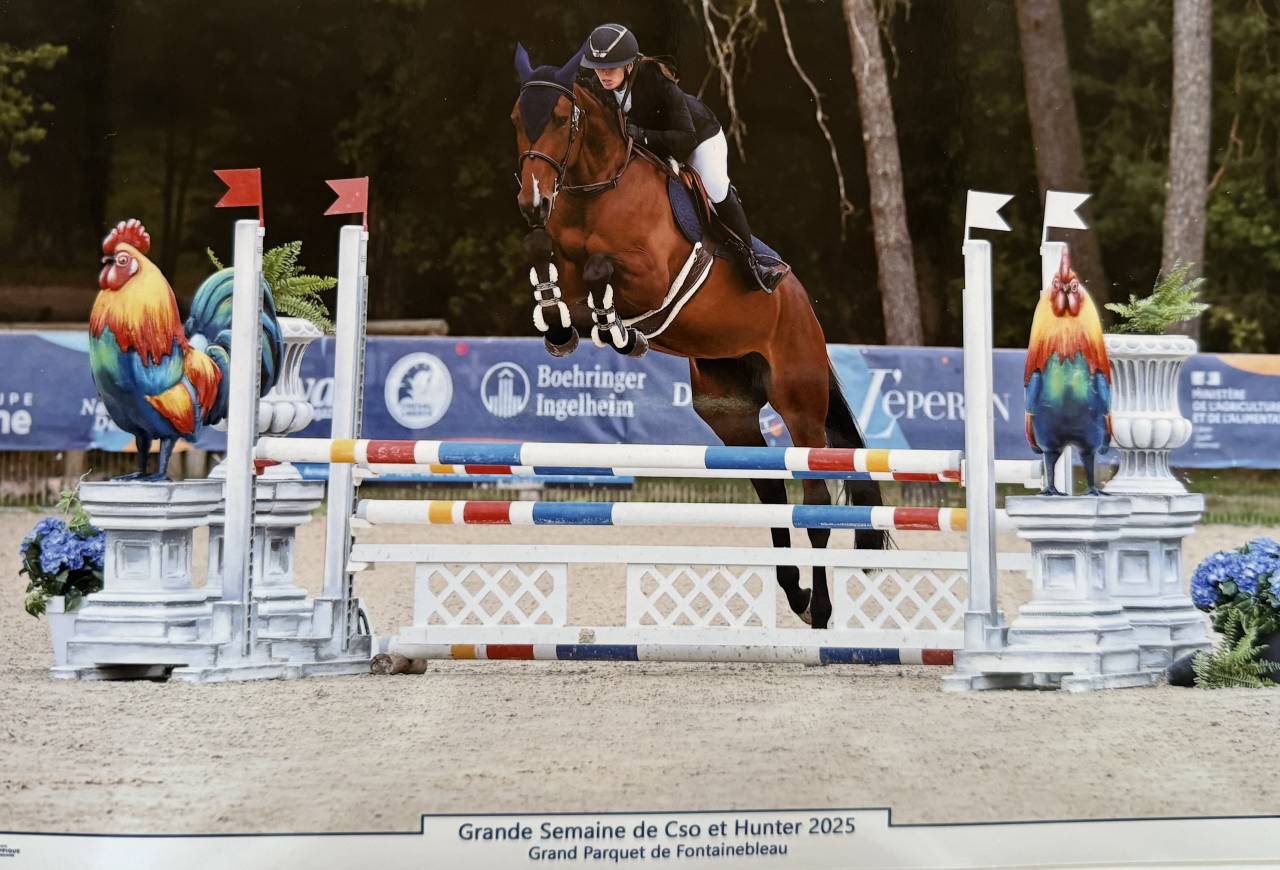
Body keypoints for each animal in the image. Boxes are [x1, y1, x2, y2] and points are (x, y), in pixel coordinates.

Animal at [511, 45, 887, 629]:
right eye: (514, 119)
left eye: (557, 117)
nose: (532, 203)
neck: (598, 188)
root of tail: (805, 311)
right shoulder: (563, 256)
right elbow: (550, 269)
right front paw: (561, 327)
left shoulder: (651, 274)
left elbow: (601, 271)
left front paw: (618, 331)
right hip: (730, 416)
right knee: (772, 496)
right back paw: (796, 593)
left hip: (800, 405)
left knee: (816, 505)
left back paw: (821, 610)